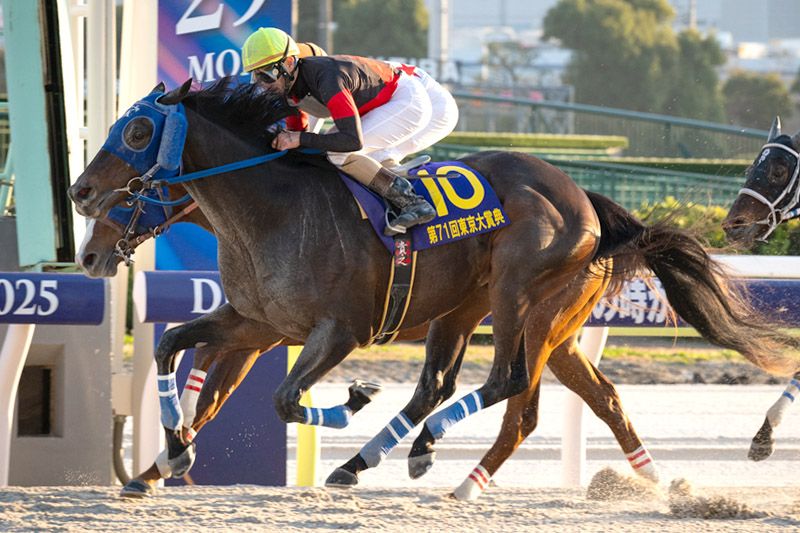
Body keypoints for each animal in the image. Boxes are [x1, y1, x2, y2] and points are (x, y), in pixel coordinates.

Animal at [77, 180, 660, 497]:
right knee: (598, 397)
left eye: (126, 196)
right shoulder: (253, 328)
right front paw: (160, 463)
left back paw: (452, 475)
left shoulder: (273, 334)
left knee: (517, 407)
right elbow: (202, 382)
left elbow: (225, 392)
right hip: (553, 335)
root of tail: (591, 210)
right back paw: (649, 478)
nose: (88, 255)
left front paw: (166, 458)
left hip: (529, 322)